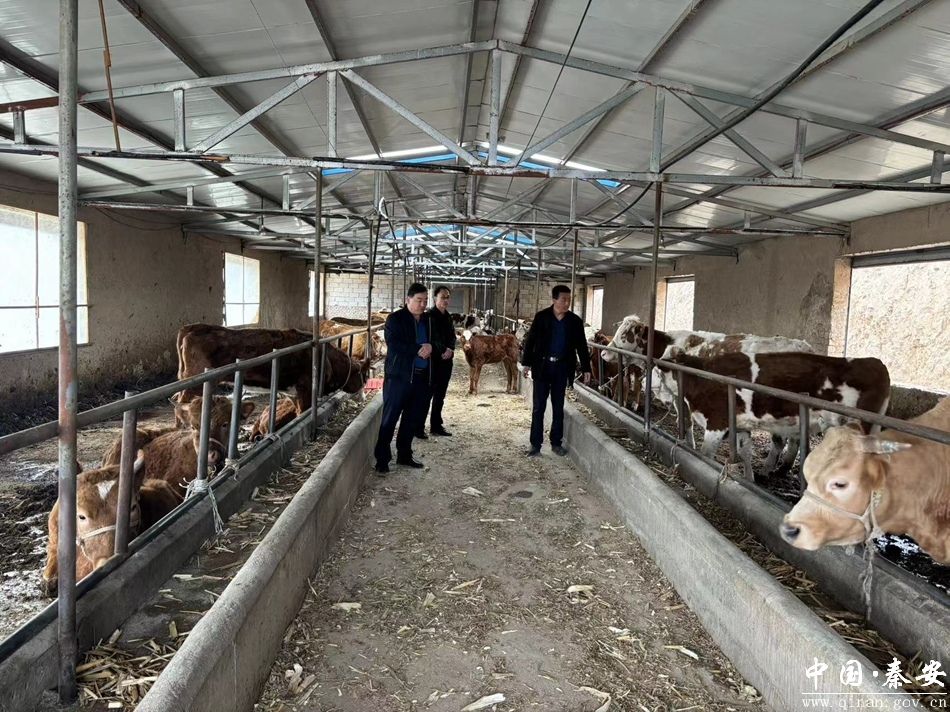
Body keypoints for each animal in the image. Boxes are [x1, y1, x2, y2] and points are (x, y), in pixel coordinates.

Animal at [175, 324, 369, 414]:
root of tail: (191, 328)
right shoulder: (306, 388)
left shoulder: (293, 392)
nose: (364, 393)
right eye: (361, 373)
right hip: (195, 382)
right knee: (181, 403)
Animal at [663, 351, 891, 481]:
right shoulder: (740, 425)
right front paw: (750, 479)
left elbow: (705, 454)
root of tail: (876, 363)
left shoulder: (717, 421)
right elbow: (745, 452)